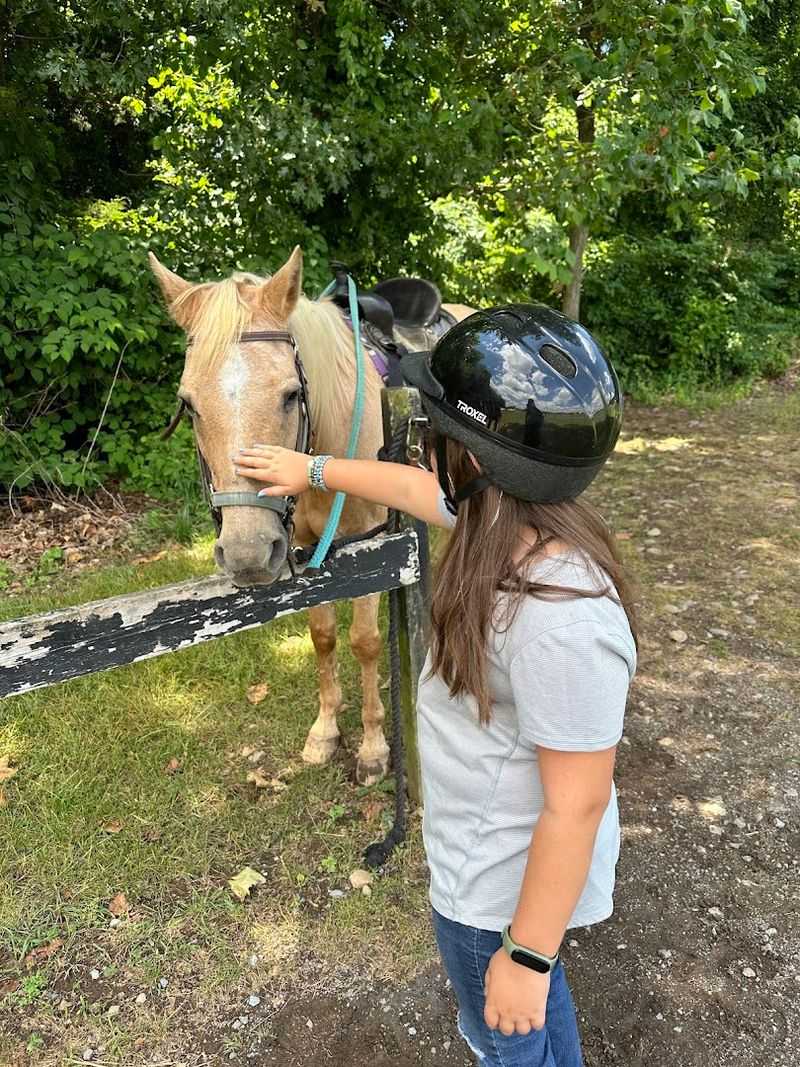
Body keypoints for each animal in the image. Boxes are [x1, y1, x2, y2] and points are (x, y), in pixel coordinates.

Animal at [149, 246, 474, 785]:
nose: (248, 555)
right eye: (189, 405)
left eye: (290, 394)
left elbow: (364, 641)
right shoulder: (306, 549)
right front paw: (325, 732)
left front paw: (373, 748)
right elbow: (322, 637)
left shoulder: (371, 543)